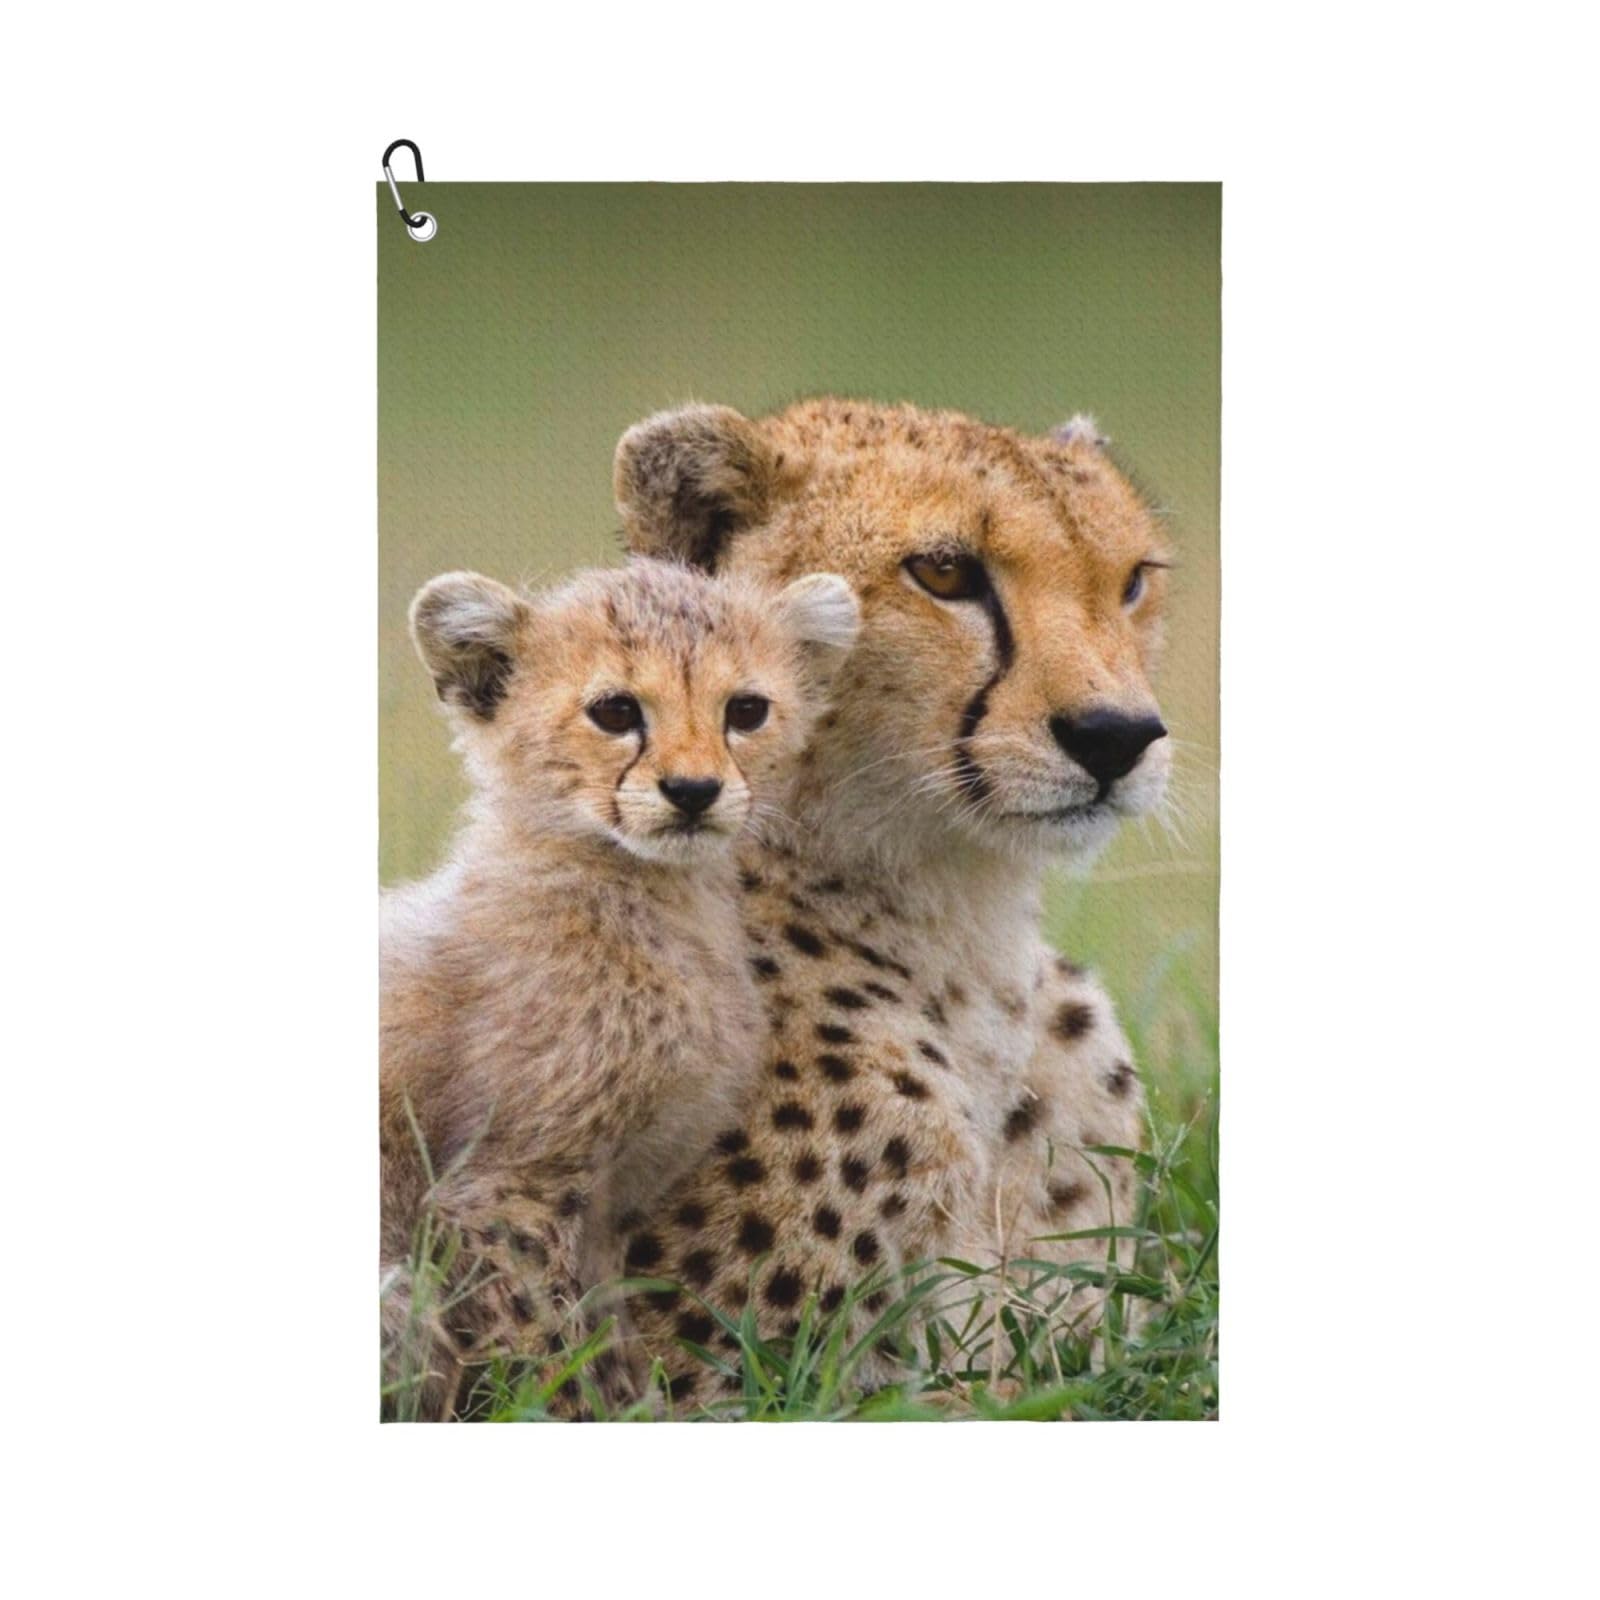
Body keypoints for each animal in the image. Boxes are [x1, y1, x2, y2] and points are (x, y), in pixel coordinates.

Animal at [379, 557, 860, 1417]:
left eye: (746, 710)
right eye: (614, 711)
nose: (694, 790)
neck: (647, 897)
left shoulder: (605, 1212)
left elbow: (607, 1347)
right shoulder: (505, 1191)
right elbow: (552, 1355)